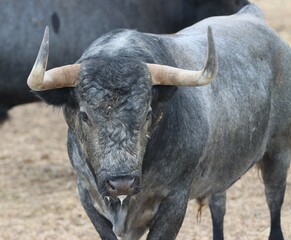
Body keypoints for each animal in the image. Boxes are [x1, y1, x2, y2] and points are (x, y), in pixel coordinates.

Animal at [28, 2, 291, 240]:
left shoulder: (174, 200)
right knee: (219, 204)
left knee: (274, 202)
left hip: (279, 153)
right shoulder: (87, 195)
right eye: (84, 115)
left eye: (147, 113)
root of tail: (253, 16)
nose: (121, 183)